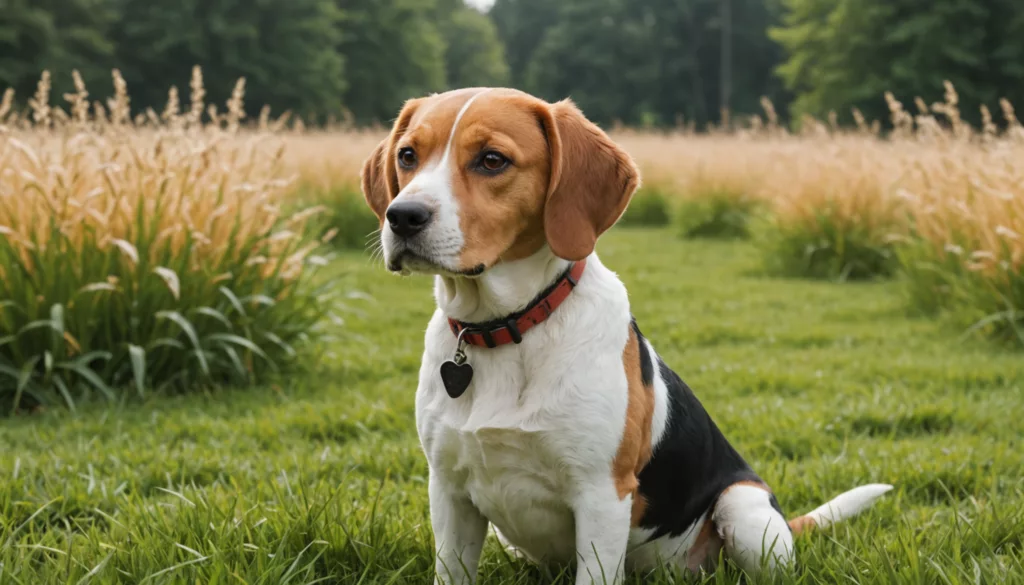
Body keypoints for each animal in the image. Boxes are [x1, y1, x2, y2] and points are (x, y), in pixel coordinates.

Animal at [360, 88, 888, 585]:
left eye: (492, 159)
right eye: (408, 155)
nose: (402, 216)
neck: (504, 328)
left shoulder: (601, 495)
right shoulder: (448, 492)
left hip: (745, 510)